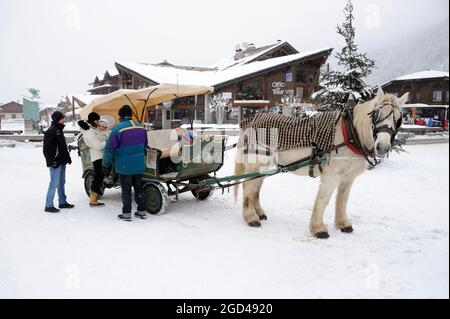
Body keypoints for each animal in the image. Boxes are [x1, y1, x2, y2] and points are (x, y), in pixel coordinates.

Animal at [236, 89, 408, 239]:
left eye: (399, 119)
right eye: (376, 113)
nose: (382, 147)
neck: (350, 135)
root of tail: (251, 120)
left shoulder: (347, 178)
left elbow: (342, 200)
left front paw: (343, 224)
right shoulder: (331, 176)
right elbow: (323, 200)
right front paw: (318, 229)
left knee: (256, 185)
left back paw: (259, 213)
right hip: (256, 162)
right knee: (248, 187)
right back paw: (251, 217)